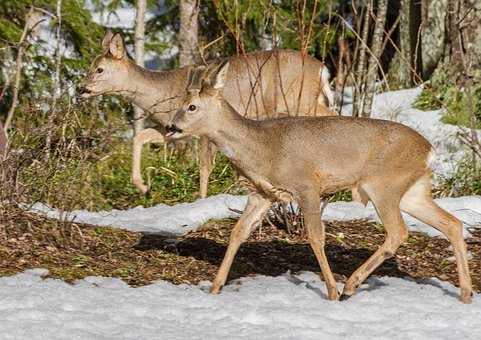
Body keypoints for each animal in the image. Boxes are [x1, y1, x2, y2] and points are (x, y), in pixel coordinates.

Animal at [79, 31, 334, 198]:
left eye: (99, 69)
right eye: (91, 66)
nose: (81, 89)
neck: (163, 93)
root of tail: (322, 69)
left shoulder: (202, 128)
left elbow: (204, 165)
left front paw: (200, 198)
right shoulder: (172, 128)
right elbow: (139, 137)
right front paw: (143, 187)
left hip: (300, 99)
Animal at [165, 60, 472, 302]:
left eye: (191, 107)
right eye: (179, 105)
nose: (170, 128)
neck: (262, 148)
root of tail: (430, 151)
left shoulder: (307, 186)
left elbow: (315, 235)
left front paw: (331, 291)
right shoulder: (263, 194)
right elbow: (238, 232)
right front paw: (215, 287)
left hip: (383, 185)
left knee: (399, 232)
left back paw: (350, 285)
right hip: (412, 191)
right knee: (452, 224)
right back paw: (466, 293)